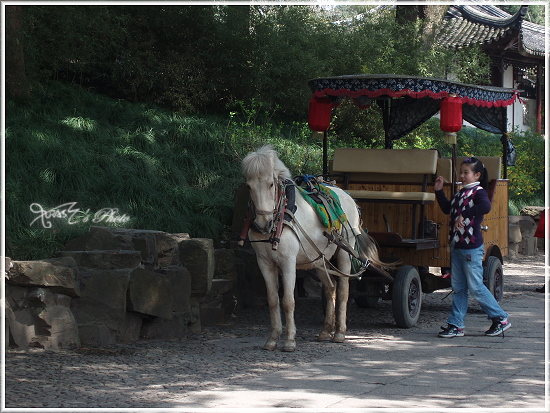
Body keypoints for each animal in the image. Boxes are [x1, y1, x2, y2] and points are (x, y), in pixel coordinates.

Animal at [242, 145, 388, 350]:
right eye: (249, 186)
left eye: (271, 184)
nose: (263, 224)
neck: (280, 217)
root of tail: (348, 197)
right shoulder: (264, 263)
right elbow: (272, 300)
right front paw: (272, 339)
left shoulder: (288, 262)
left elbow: (288, 301)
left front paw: (289, 340)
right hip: (320, 259)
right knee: (330, 288)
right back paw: (326, 330)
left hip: (344, 252)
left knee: (343, 290)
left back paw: (340, 333)